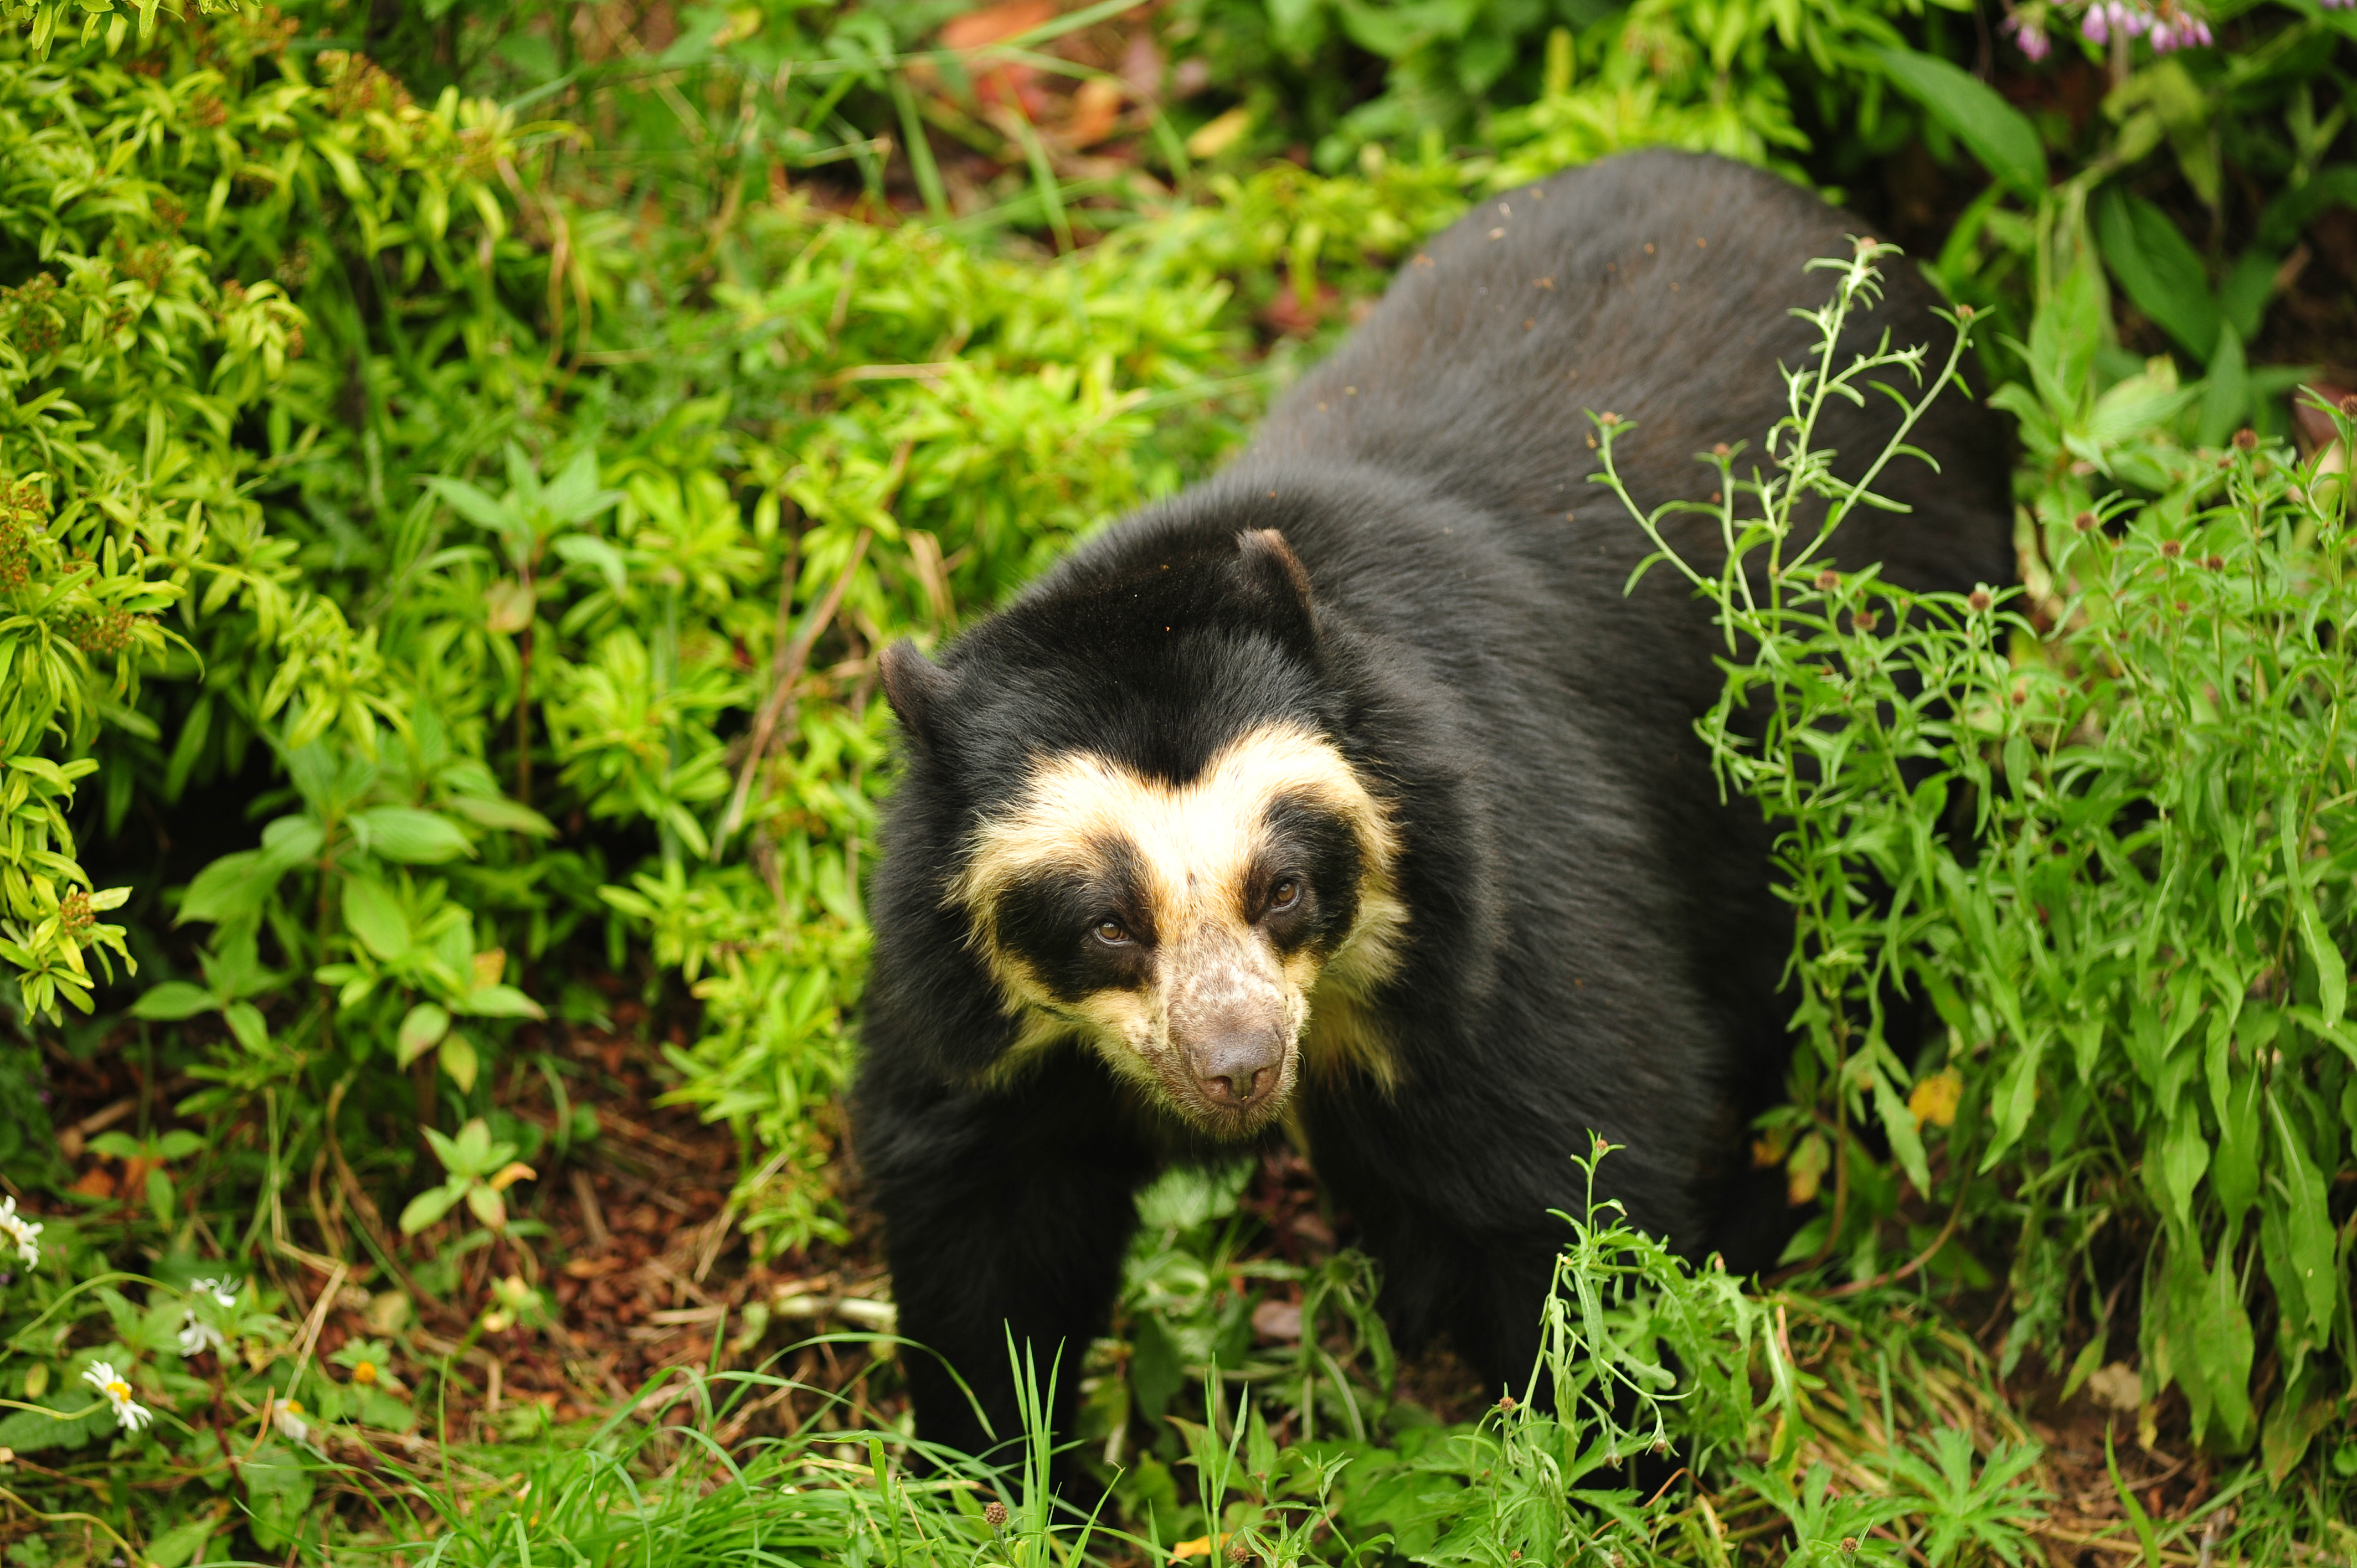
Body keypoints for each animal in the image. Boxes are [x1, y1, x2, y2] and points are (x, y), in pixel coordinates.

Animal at [848, 153, 2008, 1462]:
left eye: (1283, 887)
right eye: (1106, 924)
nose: (1238, 1067)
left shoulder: (1500, 894)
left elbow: (1577, 1173)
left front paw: (1605, 1449)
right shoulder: (984, 1016)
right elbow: (985, 1206)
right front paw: (1003, 1460)